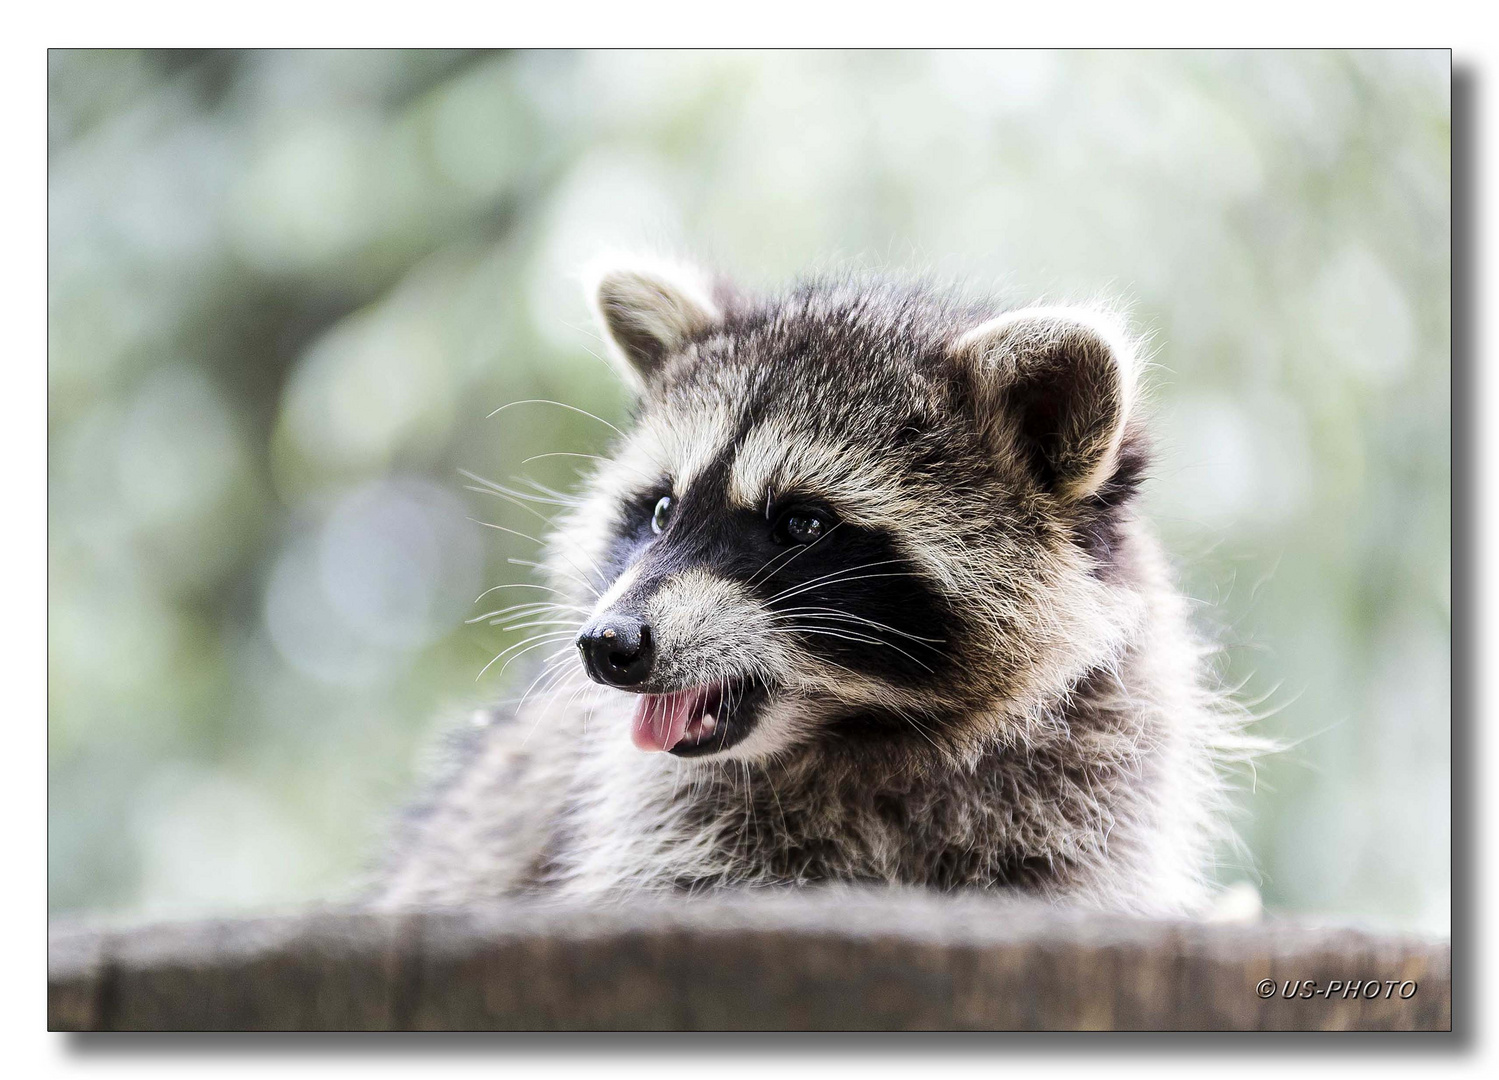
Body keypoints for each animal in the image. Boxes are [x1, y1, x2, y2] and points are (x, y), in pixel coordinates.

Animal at [377, 258, 1253, 918]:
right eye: (659, 510)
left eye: (800, 525)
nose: (608, 644)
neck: (865, 732)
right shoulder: (660, 822)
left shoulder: (1092, 782)